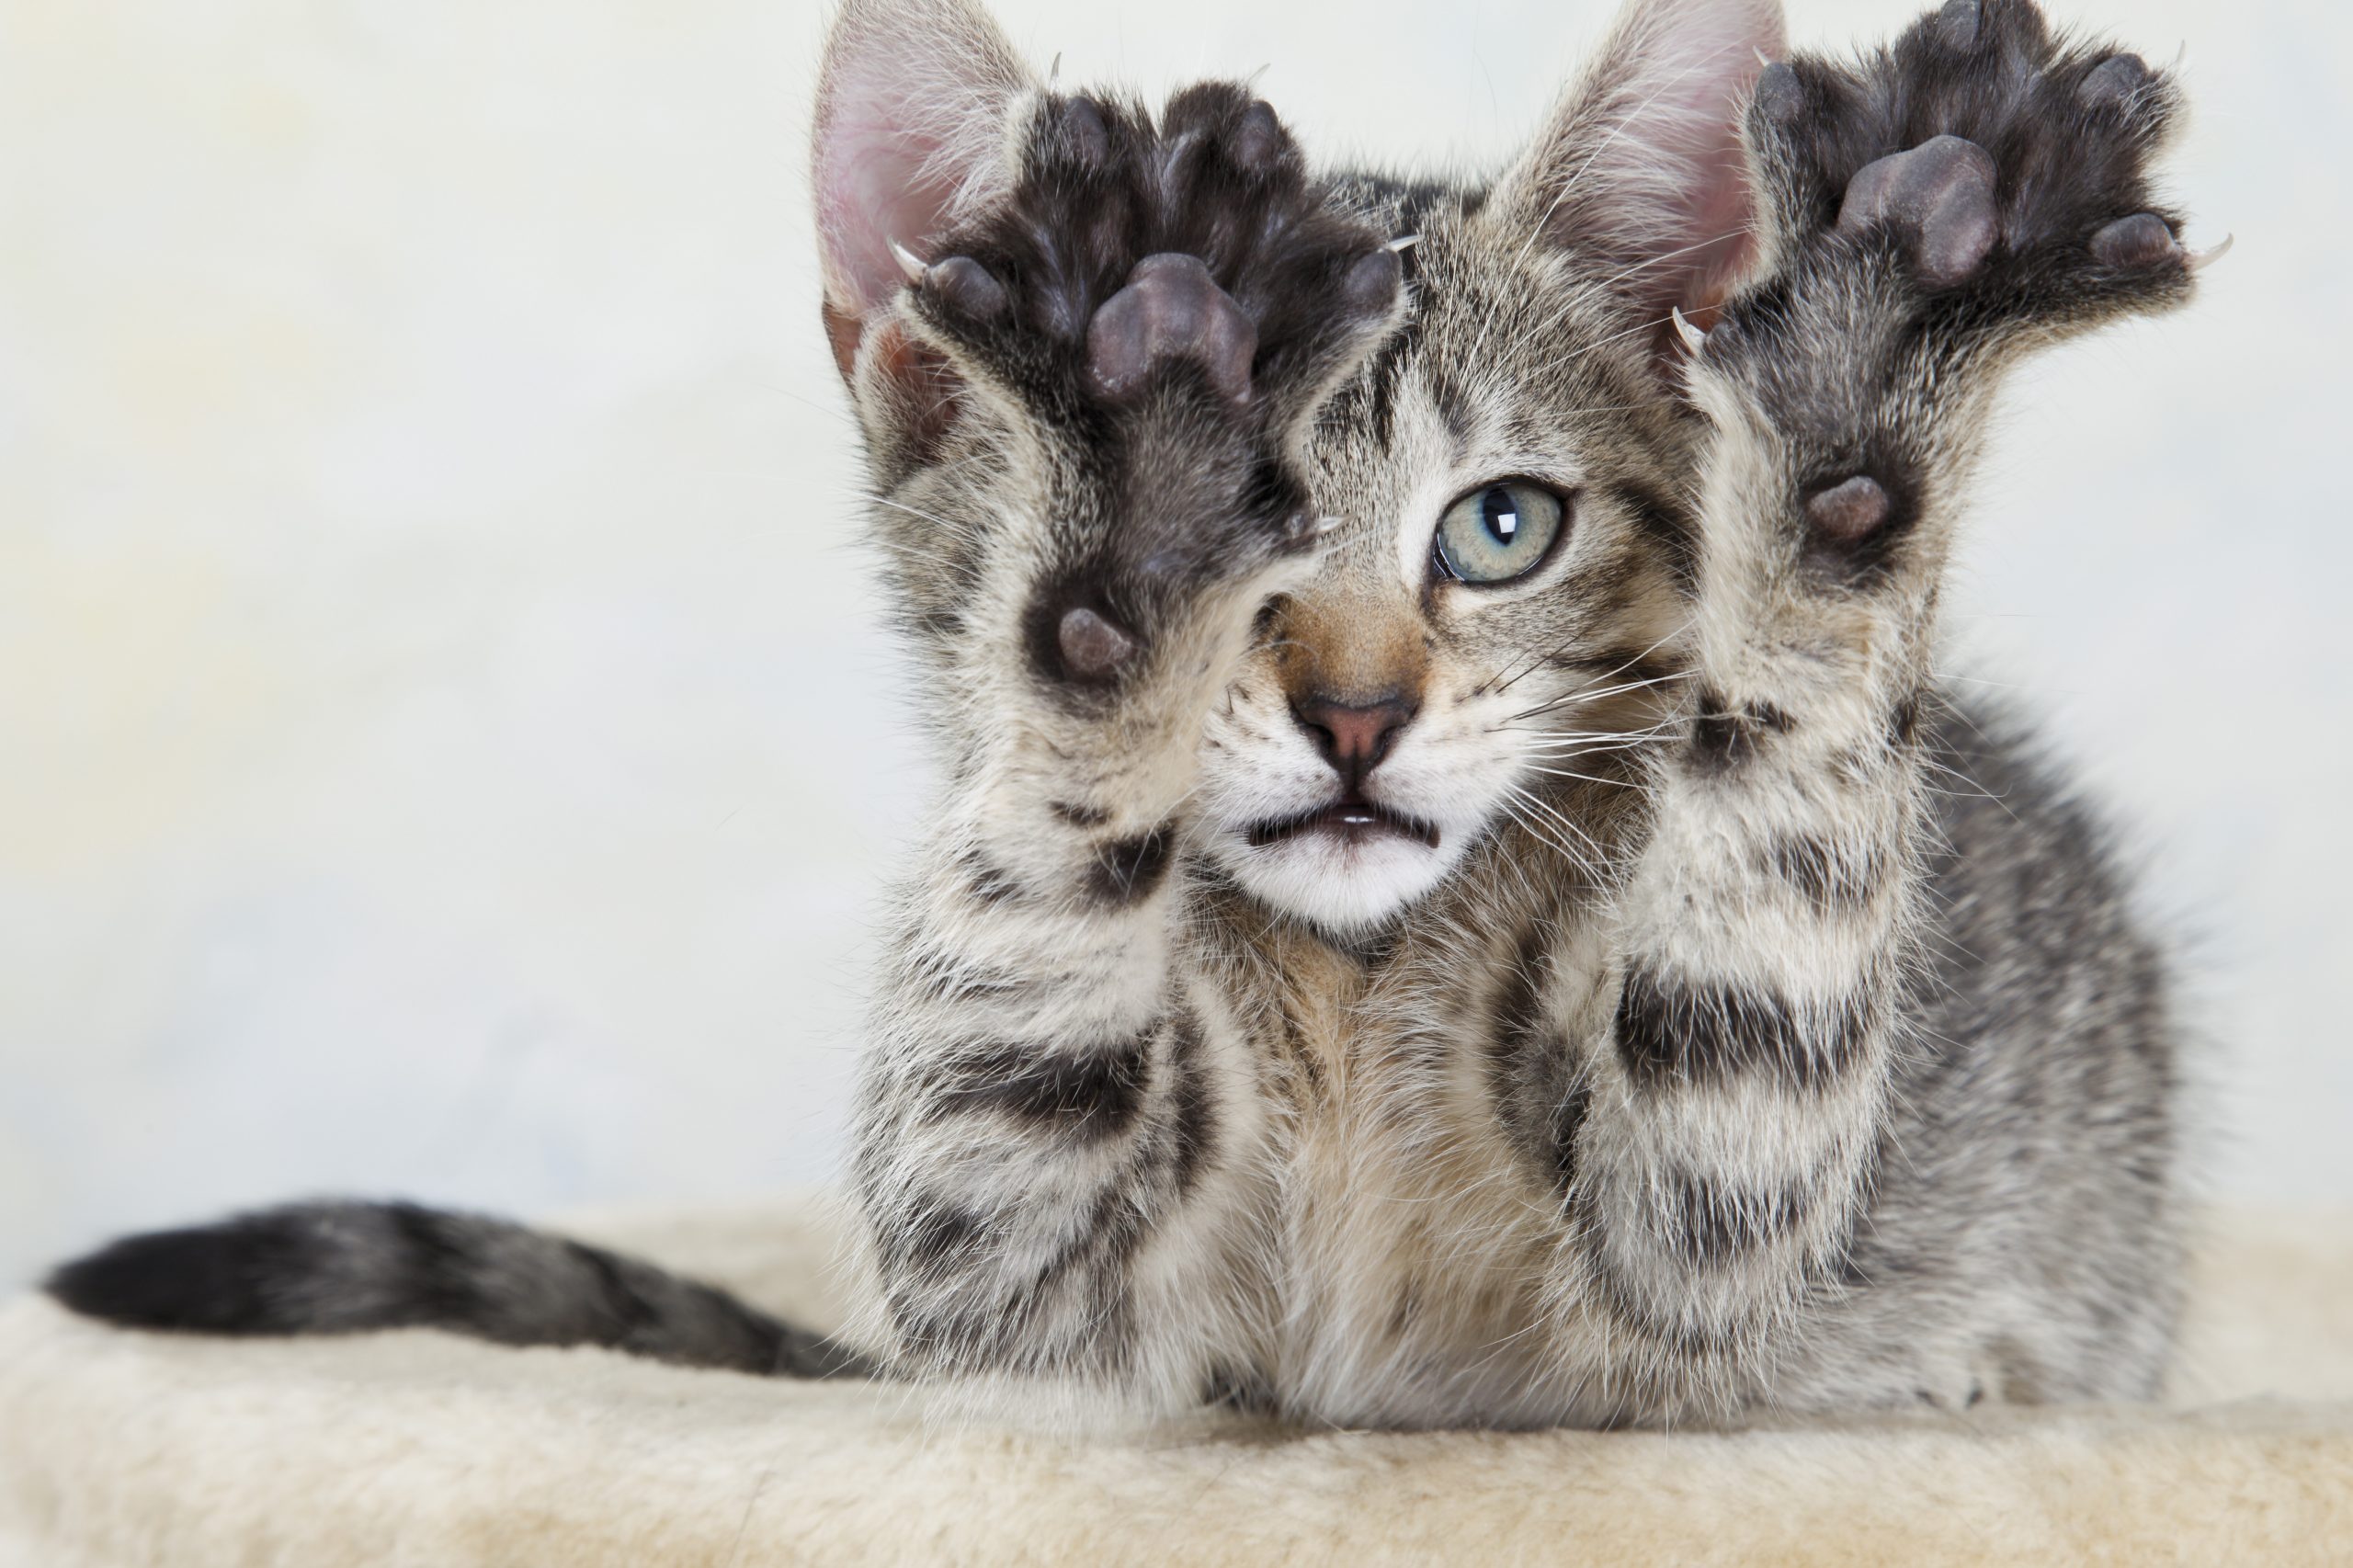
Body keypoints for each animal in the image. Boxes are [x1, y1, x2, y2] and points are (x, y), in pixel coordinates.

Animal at [45, 0, 2211, 1422]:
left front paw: (1867, 361)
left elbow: (1747, 1003)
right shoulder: (1006, 1270)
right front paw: (1137, 479)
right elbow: (1011, 1031)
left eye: (1499, 526)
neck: (1347, 984)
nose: (1356, 715)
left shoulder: (1710, 1241)